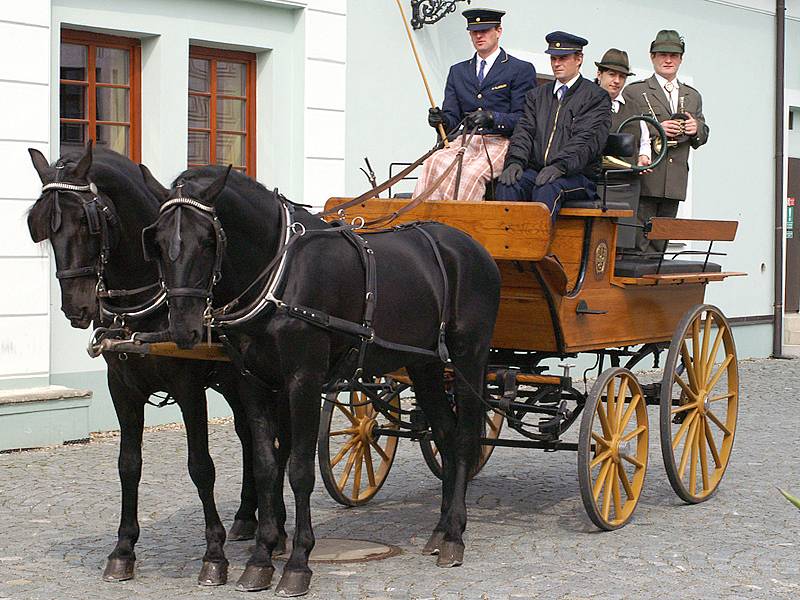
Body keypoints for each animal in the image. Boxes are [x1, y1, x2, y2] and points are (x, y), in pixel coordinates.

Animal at [27, 144, 268, 584]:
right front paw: (123, 549)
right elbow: (129, 465)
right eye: (43, 227)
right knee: (247, 434)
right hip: (234, 382)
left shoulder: (189, 390)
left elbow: (201, 466)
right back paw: (246, 516)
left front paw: (214, 554)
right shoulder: (121, 388)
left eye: (87, 221)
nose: (77, 307)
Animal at [139, 164, 500, 596]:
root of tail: (472, 247)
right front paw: (260, 559)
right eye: (158, 242)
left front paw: (297, 563)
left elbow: (298, 470)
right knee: (444, 432)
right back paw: (440, 529)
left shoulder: (304, 381)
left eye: (209, 240)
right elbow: (265, 466)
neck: (281, 275)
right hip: (424, 364)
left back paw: (454, 536)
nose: (184, 328)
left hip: (468, 357)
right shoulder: (253, 383)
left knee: (463, 437)